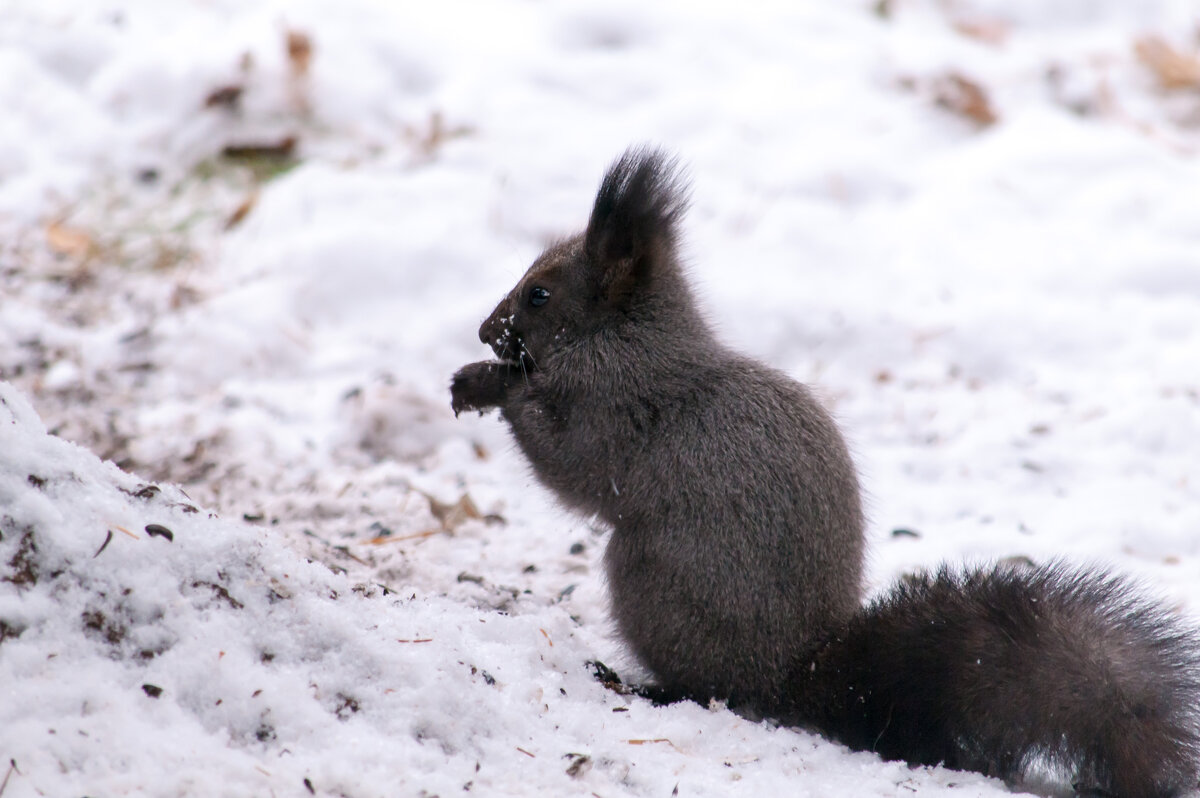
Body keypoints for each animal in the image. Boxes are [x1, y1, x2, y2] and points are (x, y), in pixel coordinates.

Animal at [451, 146, 1200, 792]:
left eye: (540, 295)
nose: (487, 331)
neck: (627, 334)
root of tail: (793, 673)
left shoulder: (615, 406)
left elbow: (573, 467)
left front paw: (491, 385)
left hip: (648, 581)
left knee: (714, 689)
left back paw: (643, 684)